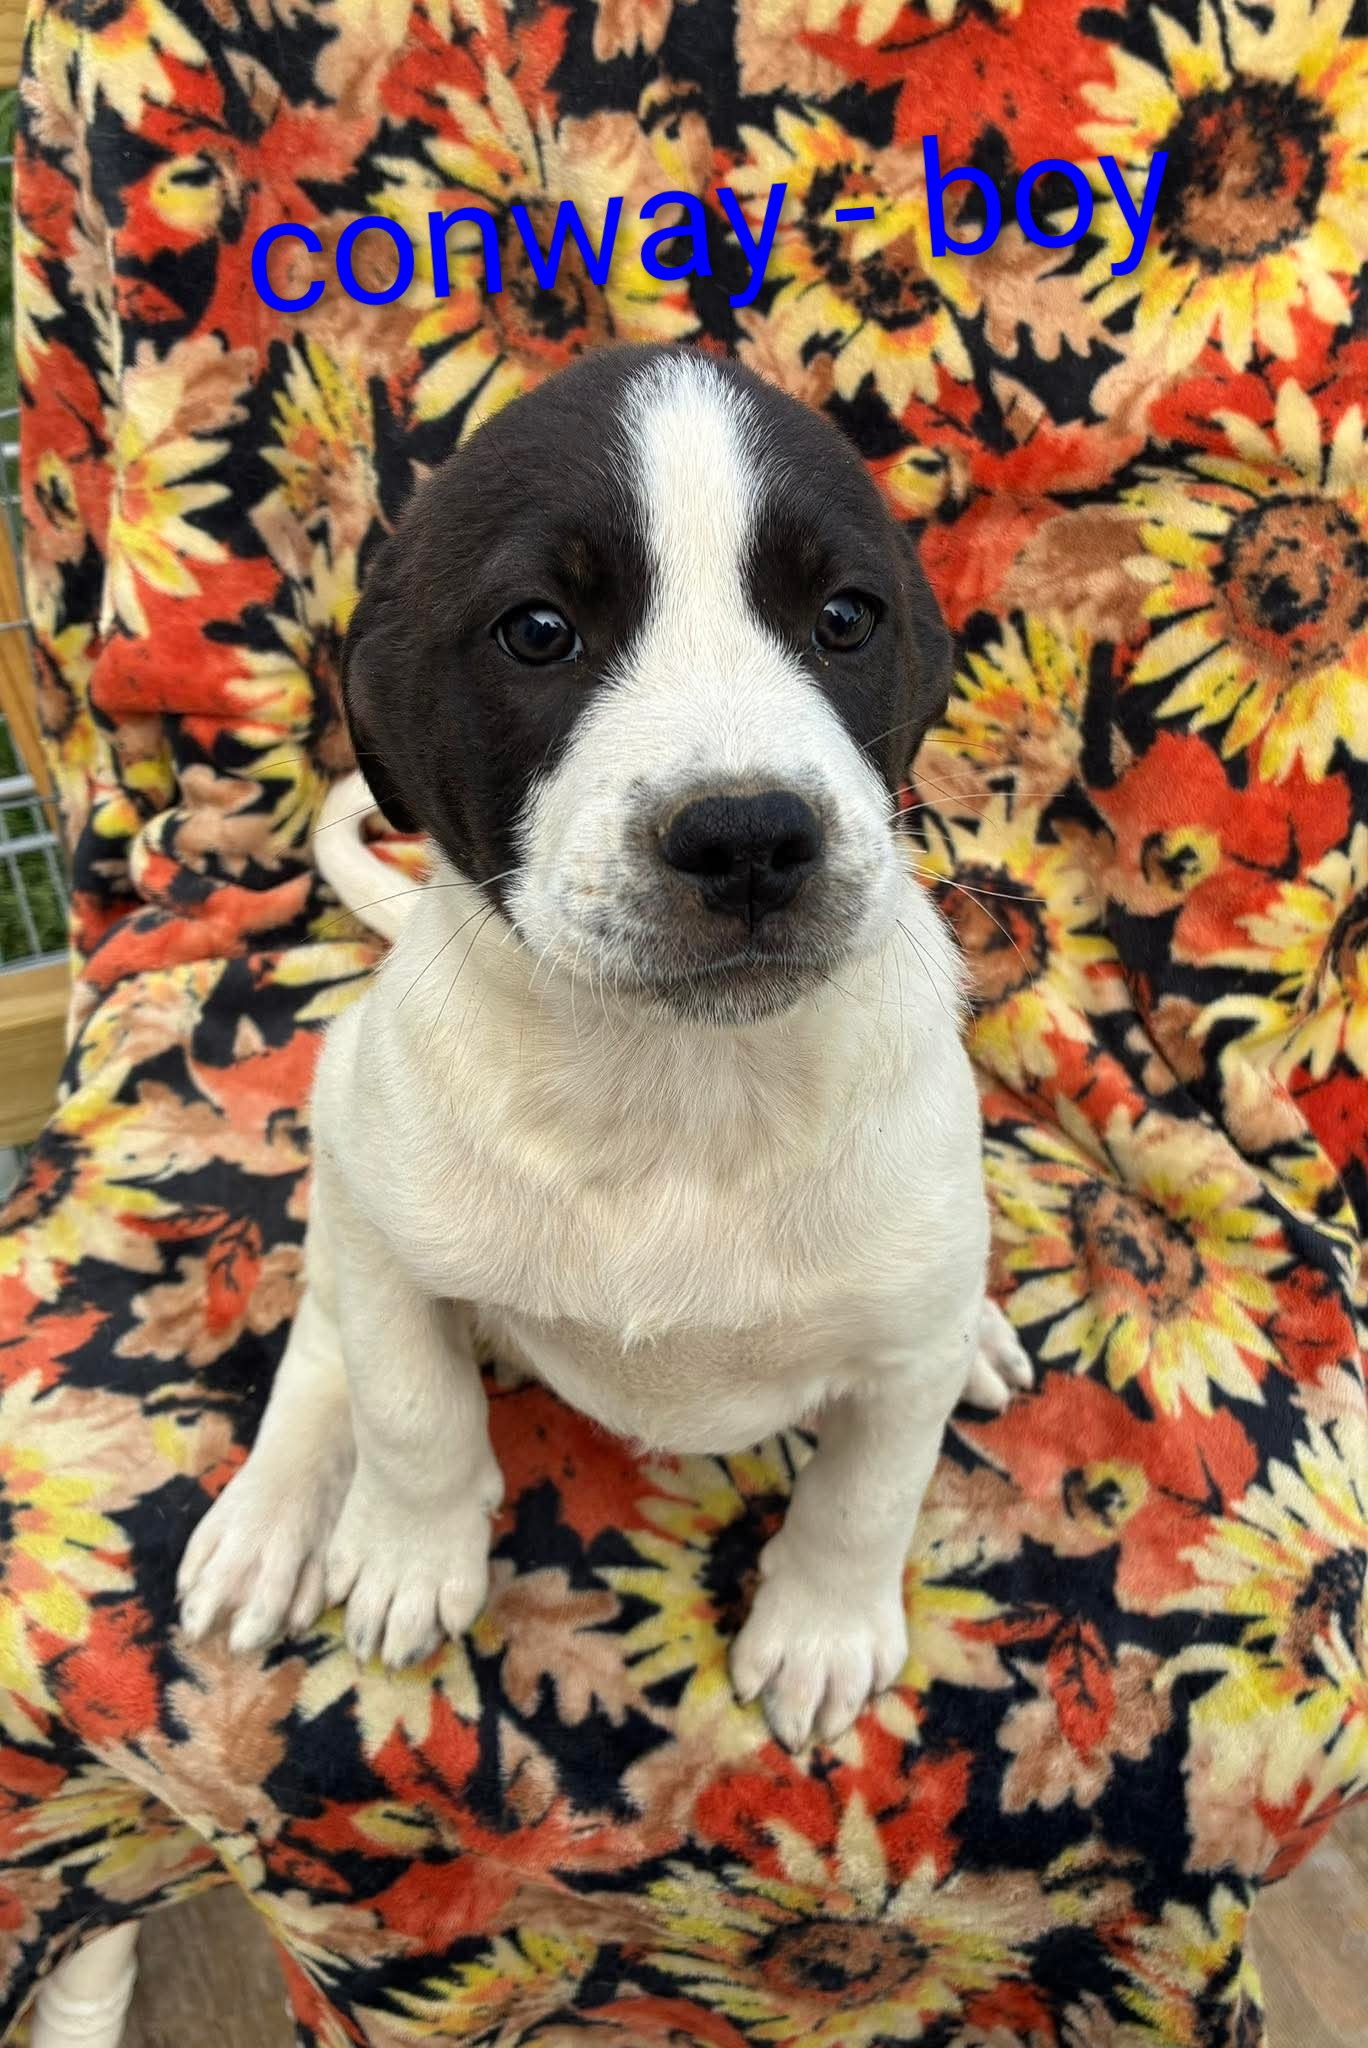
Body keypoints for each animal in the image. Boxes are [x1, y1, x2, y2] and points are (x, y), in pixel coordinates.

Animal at [177, 343, 1033, 1750]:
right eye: (538, 630)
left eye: (846, 618)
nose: (748, 837)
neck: (675, 1091)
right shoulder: (386, 1213)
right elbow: (408, 1401)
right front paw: (410, 1546)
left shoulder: (901, 1340)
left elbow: (866, 1494)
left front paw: (822, 1625)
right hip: (347, 1129)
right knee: (324, 1328)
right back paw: (273, 1513)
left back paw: (988, 1338)